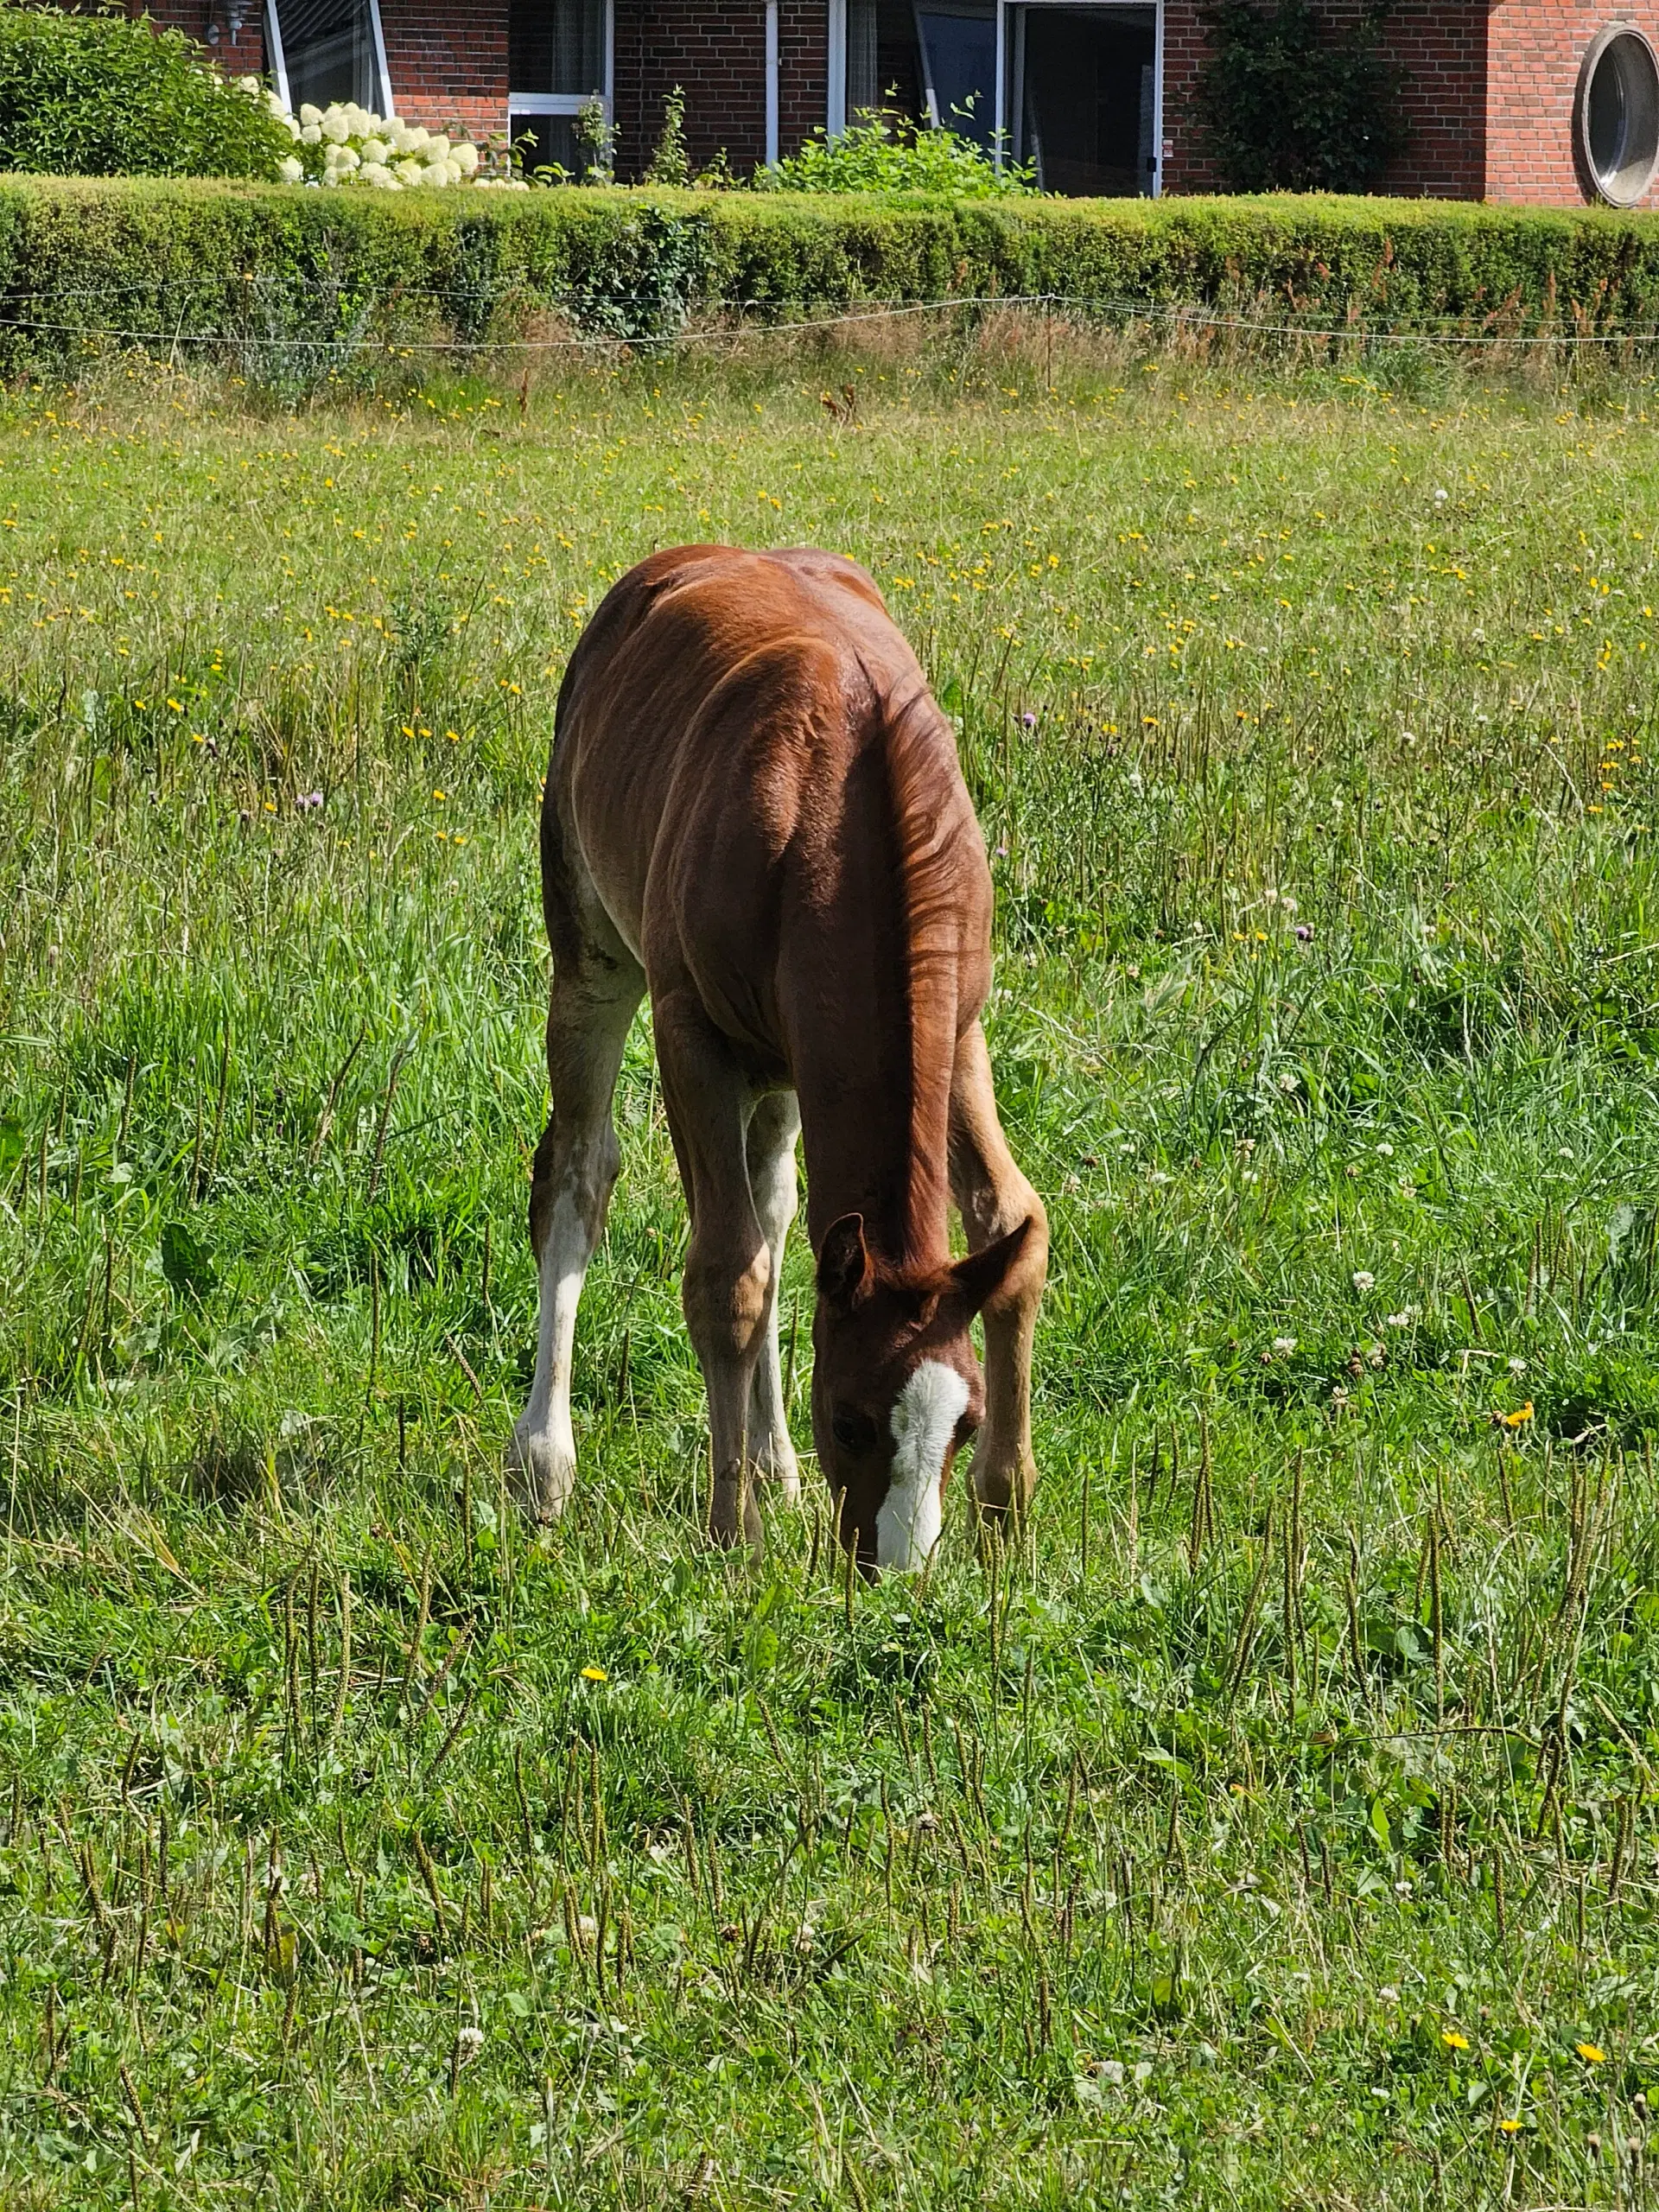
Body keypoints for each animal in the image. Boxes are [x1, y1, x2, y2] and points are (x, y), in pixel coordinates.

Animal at [511, 542, 1052, 1566]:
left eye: (963, 1424)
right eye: (850, 1420)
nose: (897, 1571)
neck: (836, 808)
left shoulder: (959, 1028)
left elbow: (1012, 1218)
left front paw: (1007, 1513)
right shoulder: (693, 1036)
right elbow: (727, 1274)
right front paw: (733, 1533)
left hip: (791, 1070)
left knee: (774, 1203)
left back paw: (772, 1465)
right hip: (592, 956)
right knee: (578, 1172)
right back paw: (543, 1465)